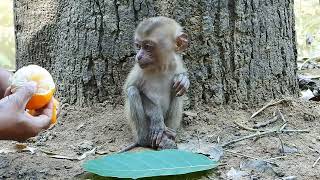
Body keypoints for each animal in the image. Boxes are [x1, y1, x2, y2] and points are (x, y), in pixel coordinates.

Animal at [121, 16, 189, 152]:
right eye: (138, 46)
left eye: (147, 46)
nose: (138, 56)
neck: (160, 68)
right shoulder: (139, 69)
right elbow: (127, 89)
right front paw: (156, 117)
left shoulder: (175, 62)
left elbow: (180, 83)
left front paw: (183, 80)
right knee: (133, 91)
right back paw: (145, 140)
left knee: (177, 91)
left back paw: (169, 136)